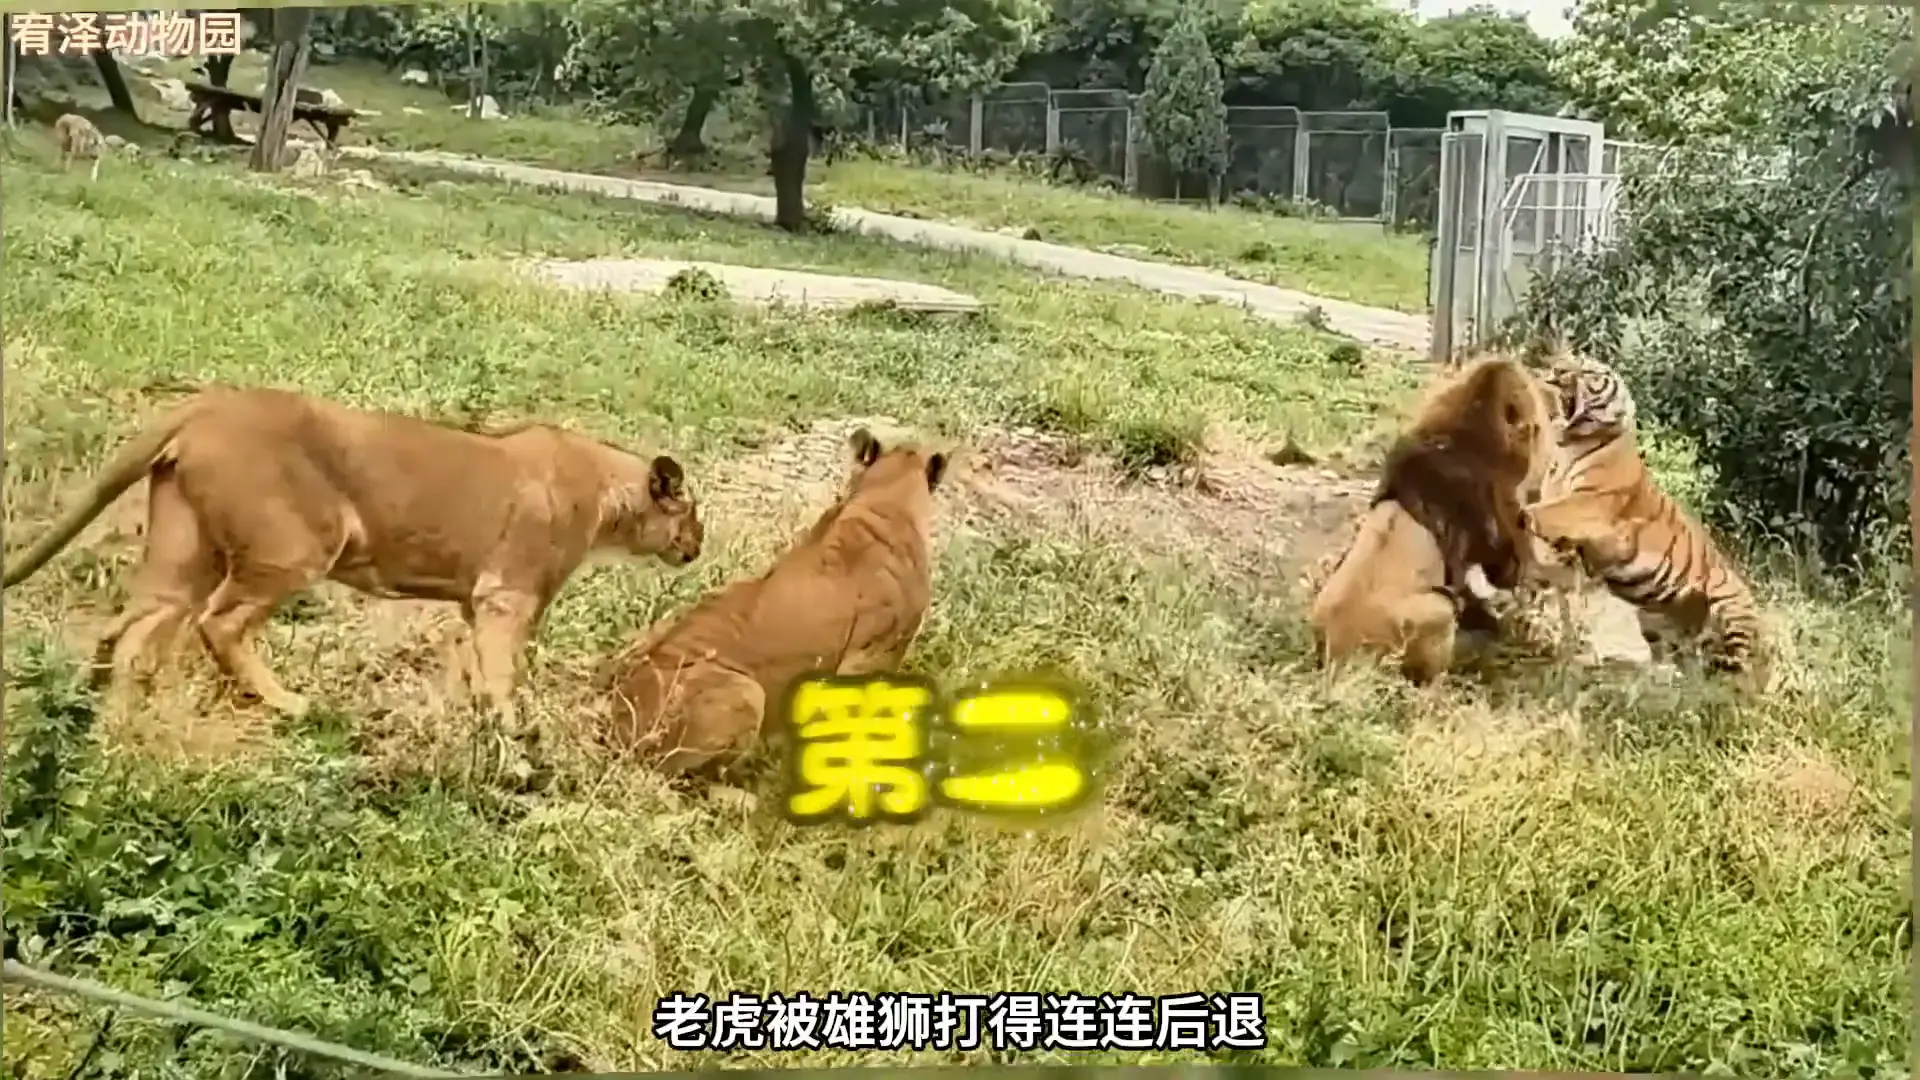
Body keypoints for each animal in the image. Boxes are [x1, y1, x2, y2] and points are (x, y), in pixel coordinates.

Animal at [2, 387, 704, 727]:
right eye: (693, 513)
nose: (697, 549)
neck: (610, 494)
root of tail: (208, 402)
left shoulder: (478, 602)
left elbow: (476, 667)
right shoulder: (508, 595)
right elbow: (504, 672)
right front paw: (517, 739)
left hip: (184, 549)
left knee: (130, 621)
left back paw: (98, 705)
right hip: (296, 547)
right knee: (217, 625)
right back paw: (287, 705)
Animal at [1520, 351, 1765, 676]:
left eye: (1589, 371)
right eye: (1569, 361)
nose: (1557, 369)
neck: (1567, 448)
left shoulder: (1590, 504)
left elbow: (1546, 512)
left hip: (1731, 609)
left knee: (1738, 665)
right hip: (1652, 619)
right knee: (1679, 661)